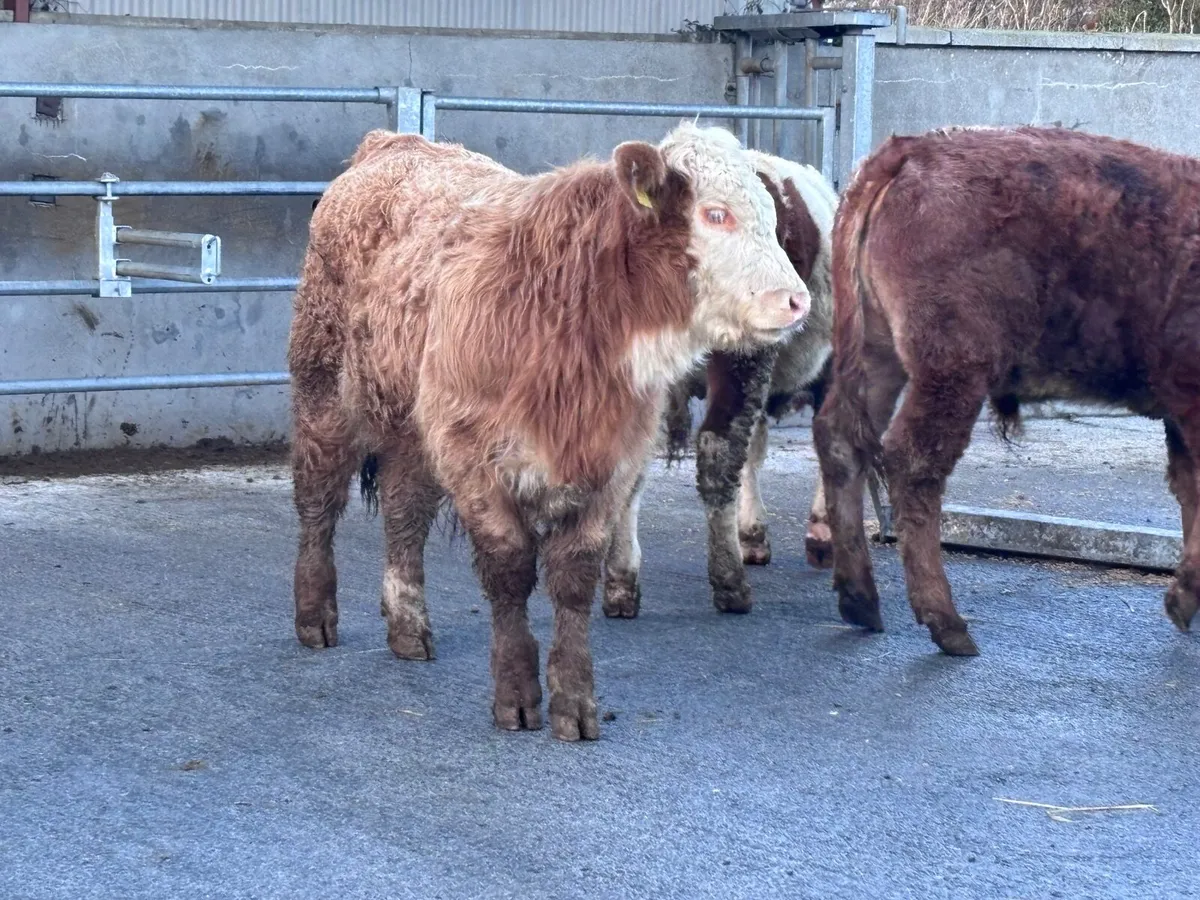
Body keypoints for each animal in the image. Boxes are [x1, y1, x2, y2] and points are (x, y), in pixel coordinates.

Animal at [287, 123, 808, 742]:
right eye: (716, 214)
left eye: (771, 220)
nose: (797, 299)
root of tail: (394, 142)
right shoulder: (475, 457)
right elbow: (511, 570)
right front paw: (516, 691)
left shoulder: (610, 463)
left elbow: (574, 577)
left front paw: (574, 698)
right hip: (324, 389)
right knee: (319, 497)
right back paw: (315, 614)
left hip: (414, 429)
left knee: (403, 511)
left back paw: (408, 626)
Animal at [602, 150, 839, 618]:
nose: (793, 298)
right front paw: (620, 580)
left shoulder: (743, 360)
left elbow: (719, 452)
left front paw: (728, 579)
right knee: (757, 450)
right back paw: (753, 535)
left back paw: (821, 534)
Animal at [812, 124, 1200, 657]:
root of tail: (912, 151)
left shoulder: (1180, 416)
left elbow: (1188, 493)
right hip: (953, 372)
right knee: (913, 462)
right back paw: (947, 625)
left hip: (877, 352)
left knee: (842, 440)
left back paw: (860, 602)